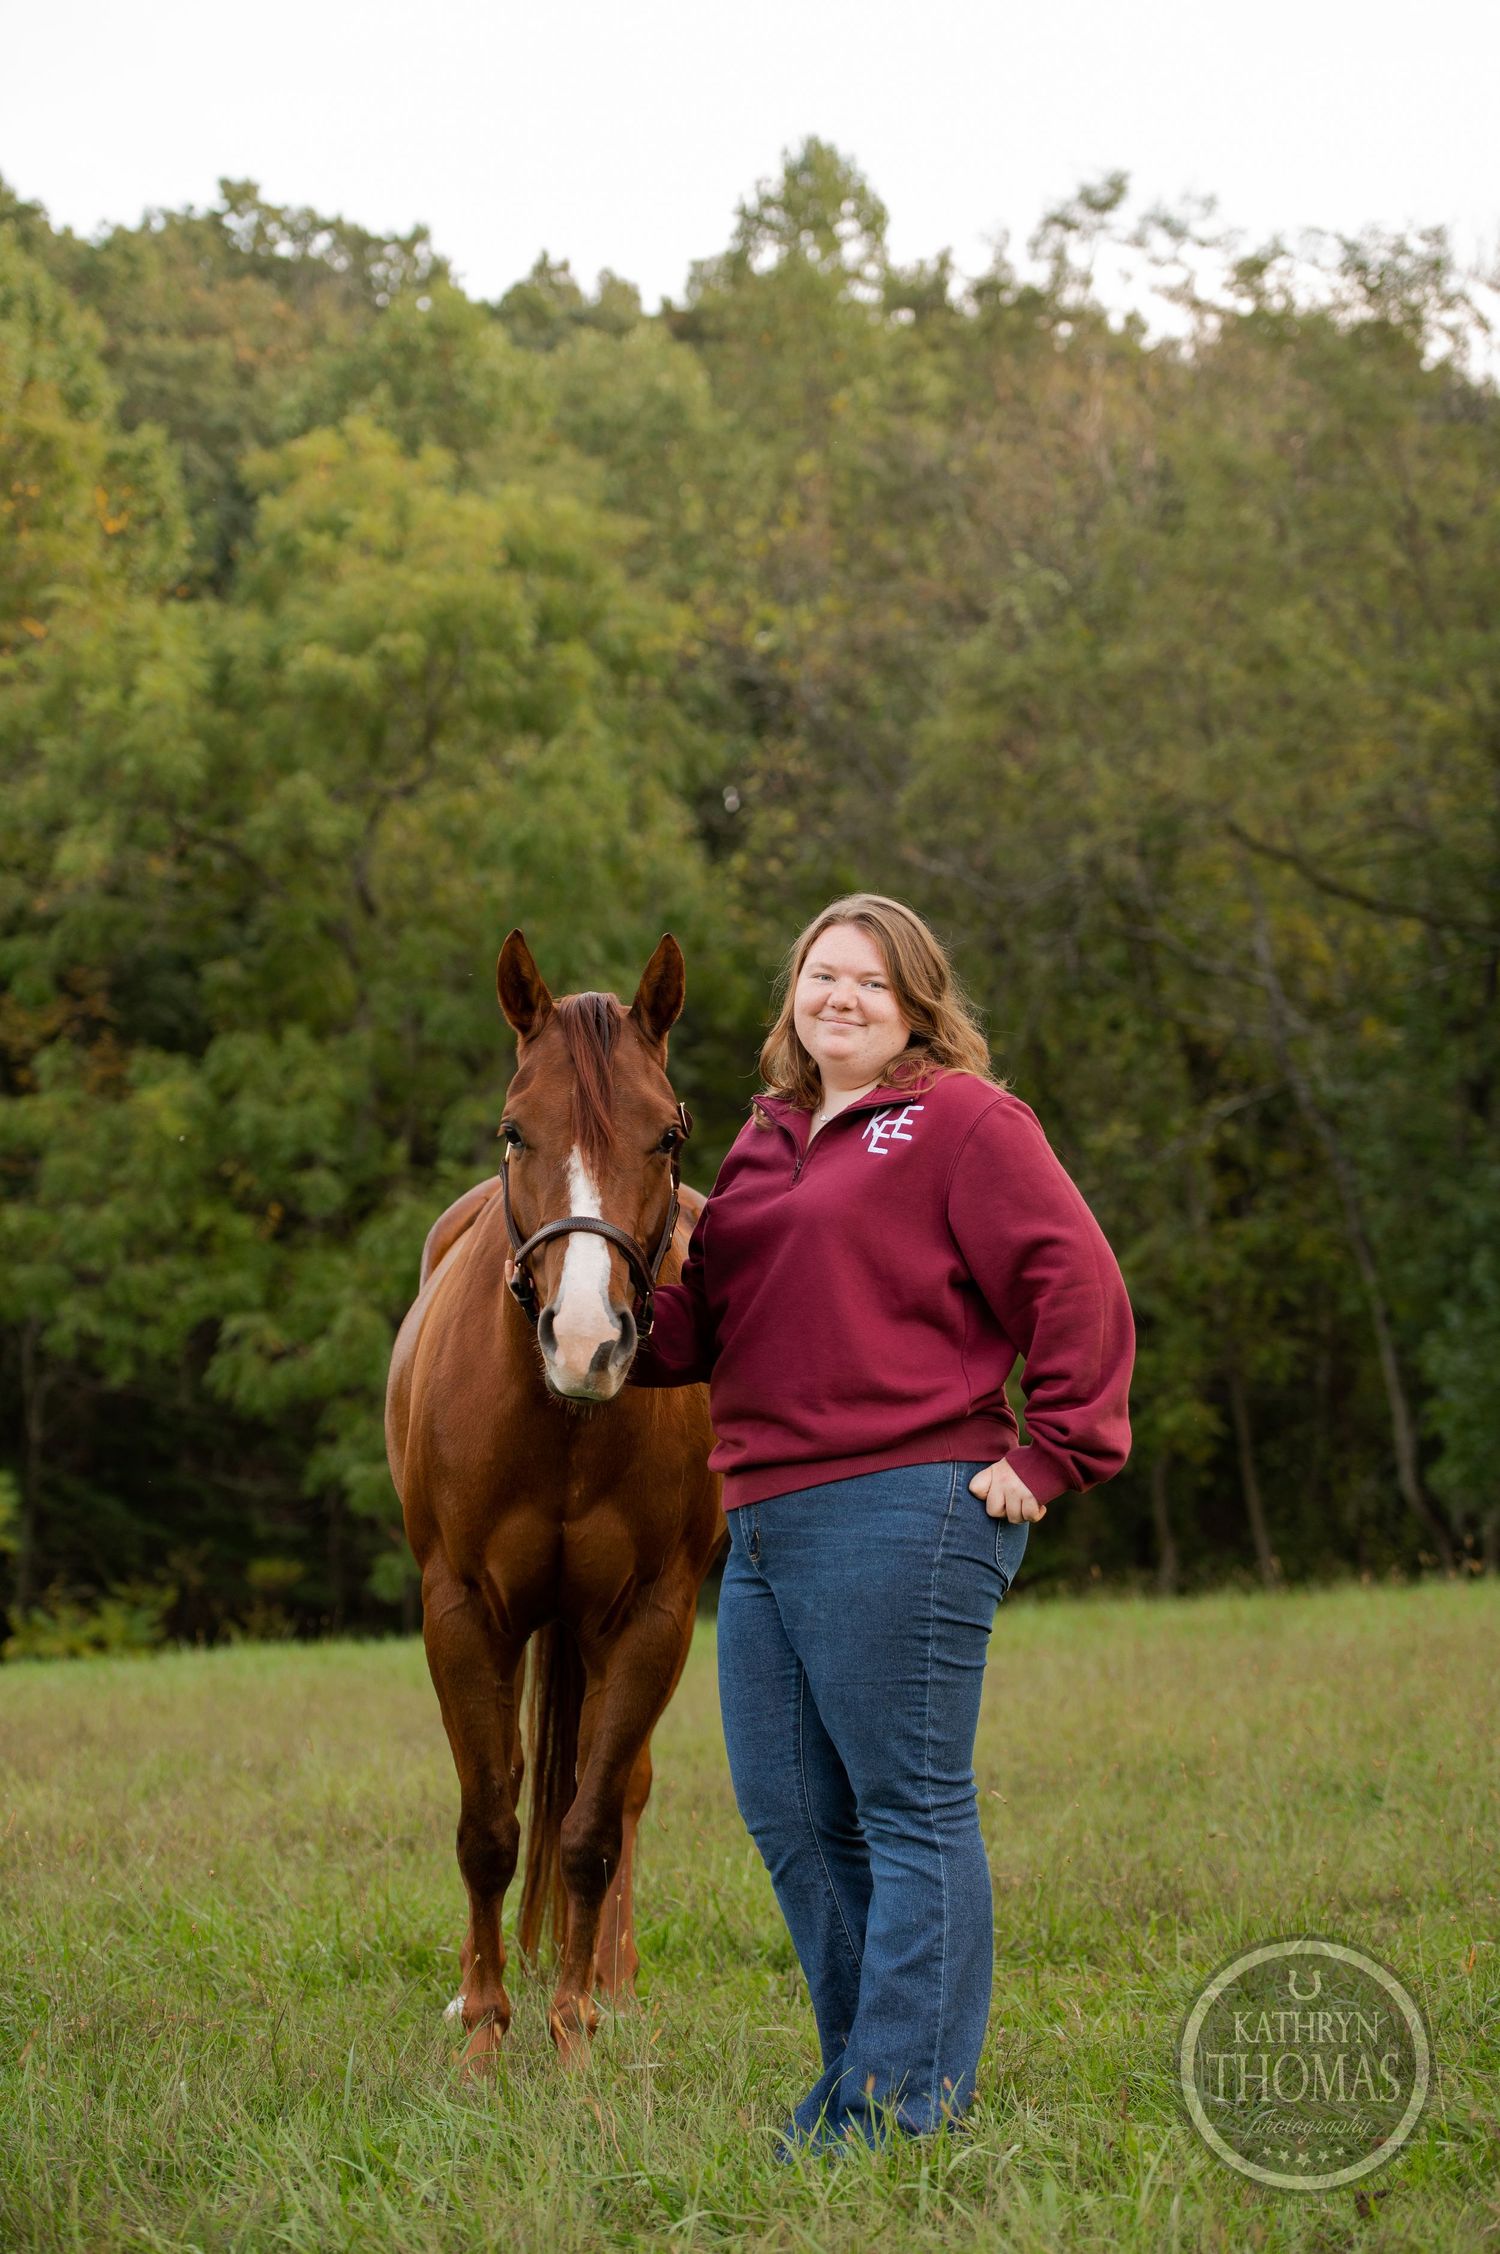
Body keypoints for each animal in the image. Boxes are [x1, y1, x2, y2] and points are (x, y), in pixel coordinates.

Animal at [385, 929, 725, 2069]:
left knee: (616, 1791)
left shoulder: (653, 1618)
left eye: (667, 1134)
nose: (586, 1340)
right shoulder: (462, 1611)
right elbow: (489, 1824)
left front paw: (573, 2028)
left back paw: (609, 1981)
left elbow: (587, 1829)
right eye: (513, 1129)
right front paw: (485, 2030)